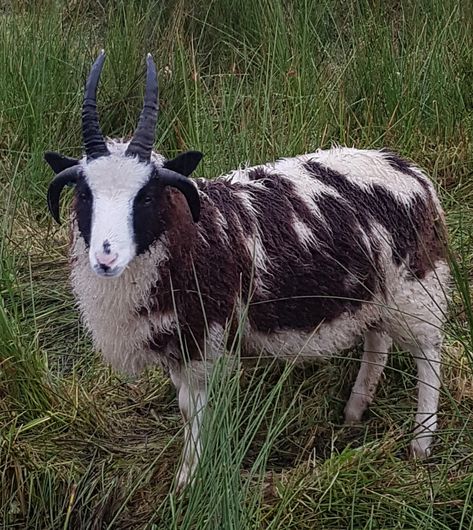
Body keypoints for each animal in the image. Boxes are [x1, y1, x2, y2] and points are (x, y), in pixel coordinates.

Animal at [45, 51, 450, 488]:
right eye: (85, 195)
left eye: (147, 197)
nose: (105, 259)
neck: (190, 237)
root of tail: (409, 170)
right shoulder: (181, 341)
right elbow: (187, 409)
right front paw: (190, 475)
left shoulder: (207, 340)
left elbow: (195, 411)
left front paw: (190, 480)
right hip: (375, 292)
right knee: (378, 341)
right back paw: (354, 411)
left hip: (416, 288)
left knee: (428, 356)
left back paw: (421, 442)